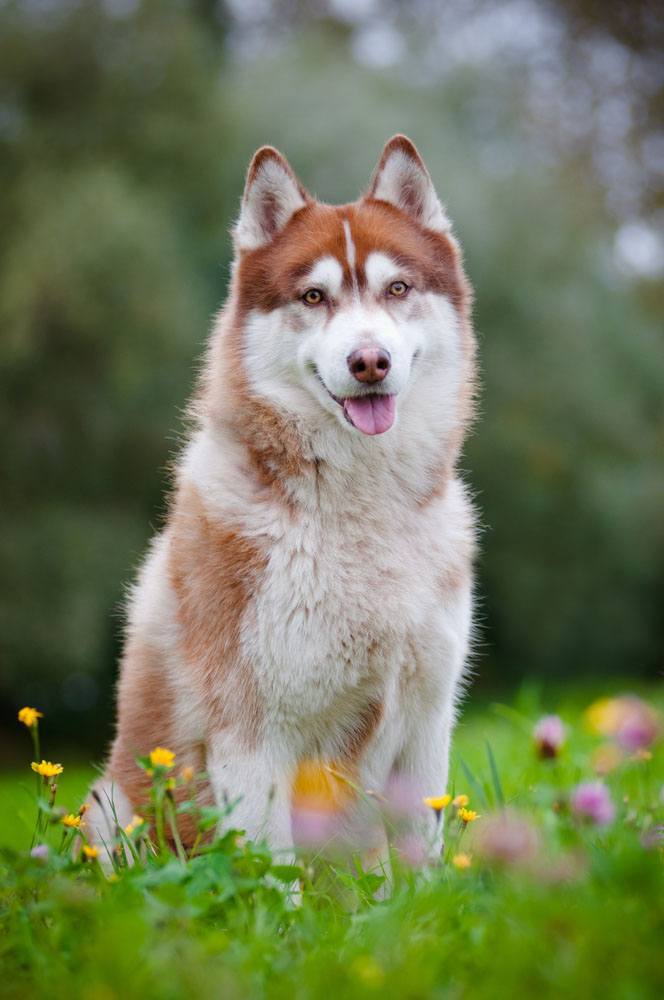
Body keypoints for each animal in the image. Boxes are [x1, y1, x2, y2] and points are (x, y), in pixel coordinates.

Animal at [87, 135, 478, 868]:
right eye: (314, 296)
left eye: (398, 288)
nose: (369, 361)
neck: (358, 509)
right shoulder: (251, 738)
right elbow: (274, 877)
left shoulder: (427, 725)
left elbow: (423, 866)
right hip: (110, 806)